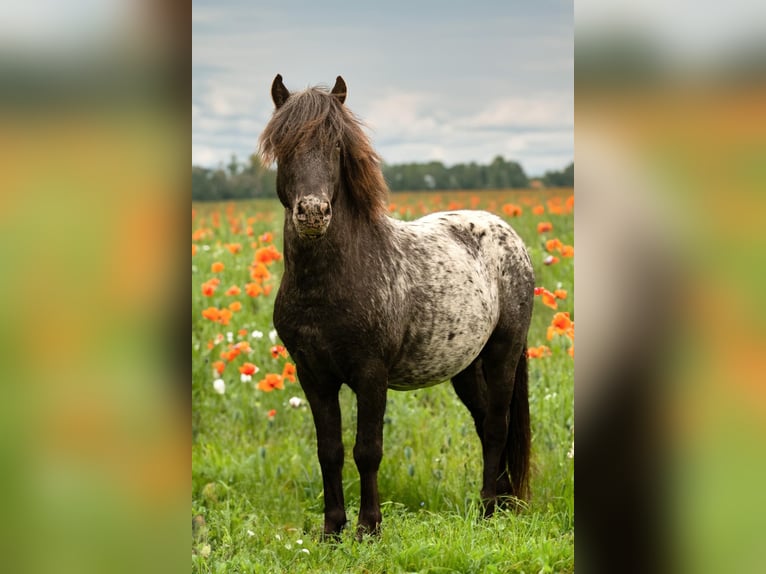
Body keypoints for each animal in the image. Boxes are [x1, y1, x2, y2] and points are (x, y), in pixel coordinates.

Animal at [258, 75, 536, 540]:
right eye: (283, 143)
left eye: (337, 145)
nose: (313, 212)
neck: (327, 285)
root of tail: (507, 233)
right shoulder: (313, 376)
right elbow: (329, 450)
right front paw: (332, 530)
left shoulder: (371, 375)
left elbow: (367, 450)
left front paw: (369, 528)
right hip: (466, 366)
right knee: (484, 423)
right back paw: (498, 504)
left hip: (504, 352)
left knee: (498, 424)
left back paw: (486, 511)